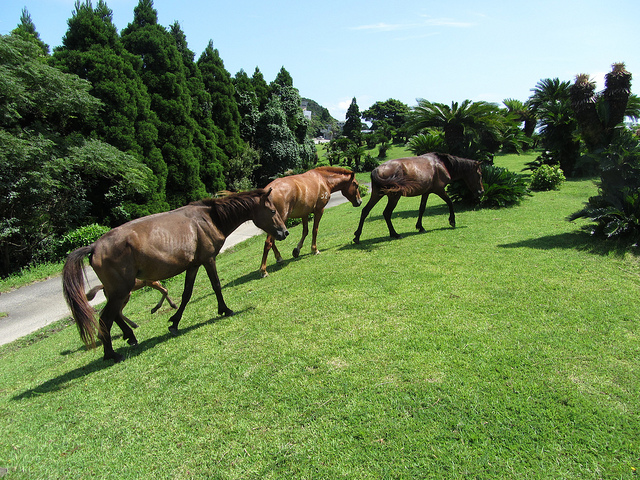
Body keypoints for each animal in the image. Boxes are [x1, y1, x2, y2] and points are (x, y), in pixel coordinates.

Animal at [62, 189, 288, 362]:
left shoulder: (194, 265)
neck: (208, 218)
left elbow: (186, 294)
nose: (284, 232)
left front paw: (174, 323)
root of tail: (94, 247)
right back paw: (112, 354)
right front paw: (225, 310)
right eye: (273, 210)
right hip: (120, 291)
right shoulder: (208, 260)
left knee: (114, 315)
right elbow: (216, 285)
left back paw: (130, 336)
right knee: (105, 318)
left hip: (117, 292)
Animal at [352, 153, 482, 244]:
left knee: (366, 211)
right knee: (387, 213)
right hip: (394, 197)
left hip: (377, 194)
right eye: (480, 174)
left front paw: (420, 227)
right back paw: (395, 234)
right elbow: (450, 202)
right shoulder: (439, 190)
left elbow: (422, 208)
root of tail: (376, 170)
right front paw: (452, 221)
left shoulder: (426, 192)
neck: (441, 164)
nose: (481, 191)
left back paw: (357, 237)